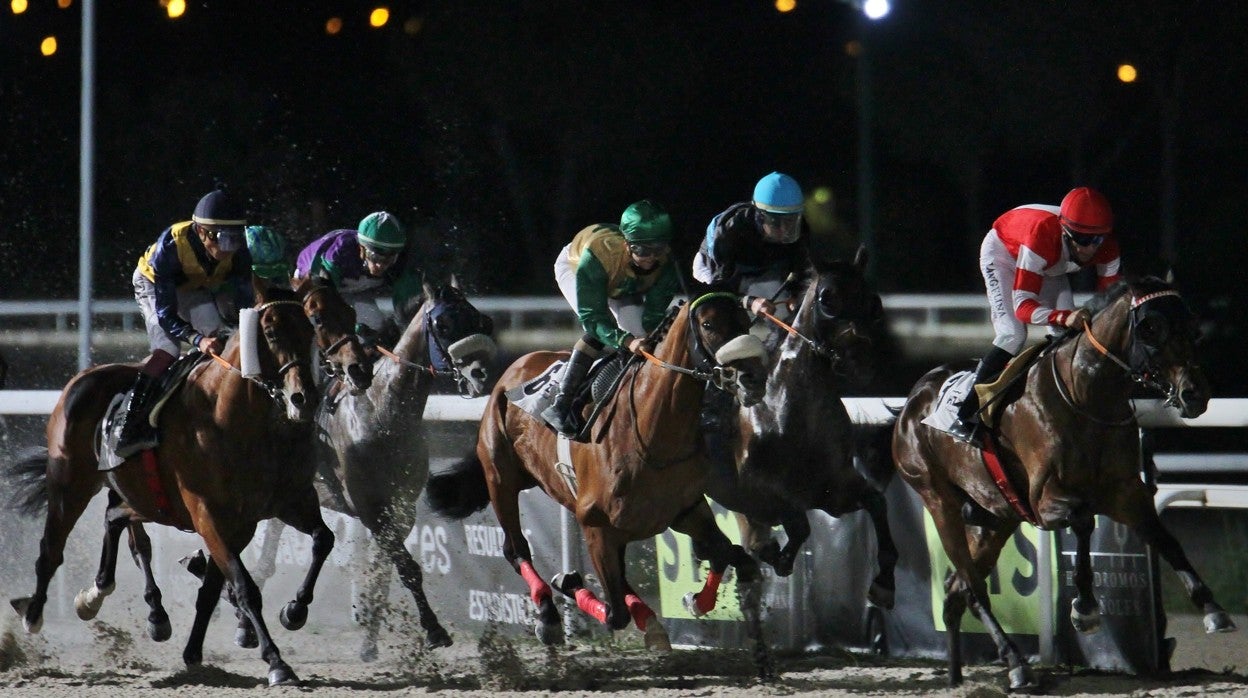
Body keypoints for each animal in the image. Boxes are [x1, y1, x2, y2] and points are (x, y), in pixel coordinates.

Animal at [4, 279, 364, 689]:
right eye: (270, 331)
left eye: (308, 327)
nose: (303, 398)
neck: (234, 419)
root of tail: (80, 379)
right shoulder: (209, 514)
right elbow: (243, 587)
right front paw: (276, 662)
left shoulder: (276, 506)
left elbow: (320, 540)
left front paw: (291, 611)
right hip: (70, 483)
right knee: (52, 547)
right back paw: (33, 614)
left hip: (134, 493)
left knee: (118, 523)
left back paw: (109, 599)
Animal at [429, 292, 768, 654]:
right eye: (708, 324)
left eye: (745, 321)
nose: (753, 378)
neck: (650, 429)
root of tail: (510, 372)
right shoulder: (595, 525)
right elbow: (615, 613)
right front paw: (567, 582)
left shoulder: (685, 510)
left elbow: (732, 556)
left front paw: (696, 600)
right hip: (500, 478)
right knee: (515, 548)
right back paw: (549, 614)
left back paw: (649, 621)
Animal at [703, 249, 898, 606]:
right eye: (827, 298)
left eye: (873, 301)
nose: (860, 361)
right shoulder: (764, 492)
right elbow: (797, 526)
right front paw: (781, 561)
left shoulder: (836, 489)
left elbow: (877, 502)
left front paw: (883, 584)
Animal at [893, 277, 1233, 689]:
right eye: (1150, 327)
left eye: (1193, 326)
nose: (1194, 394)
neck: (1085, 397)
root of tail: (912, 401)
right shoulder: (1044, 499)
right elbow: (1084, 521)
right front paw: (1084, 608)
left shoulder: (1127, 492)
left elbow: (1166, 540)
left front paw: (1213, 609)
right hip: (937, 499)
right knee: (973, 586)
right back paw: (1017, 664)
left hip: (997, 517)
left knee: (957, 588)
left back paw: (958, 676)